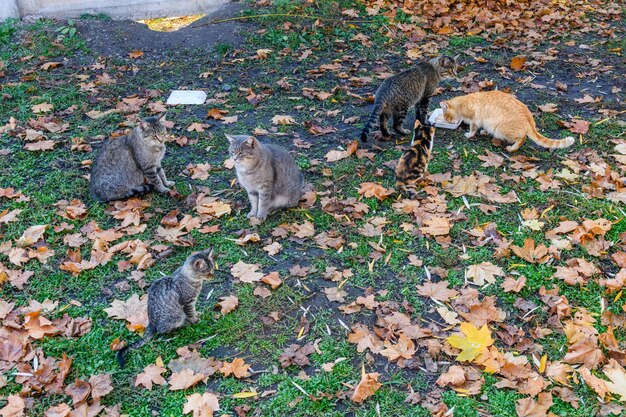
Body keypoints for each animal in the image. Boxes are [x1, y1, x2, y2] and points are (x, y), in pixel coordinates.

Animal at [438, 90, 576, 152]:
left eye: (446, 117)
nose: (447, 121)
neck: (463, 102)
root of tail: (529, 118)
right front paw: (484, 132)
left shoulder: (474, 120)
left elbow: (472, 129)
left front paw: (469, 134)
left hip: (501, 130)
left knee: (522, 138)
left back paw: (512, 148)